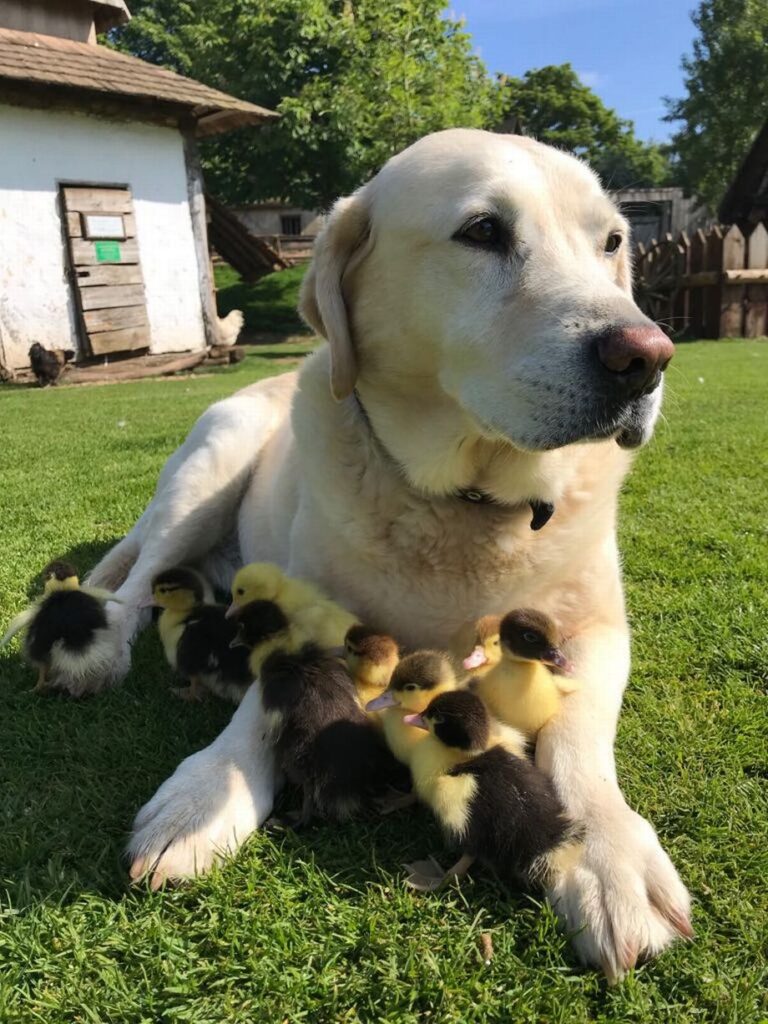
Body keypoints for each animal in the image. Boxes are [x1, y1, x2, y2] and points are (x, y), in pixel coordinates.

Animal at [85, 128, 692, 974]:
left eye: (610, 243)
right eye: (483, 231)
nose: (647, 356)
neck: (467, 504)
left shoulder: (601, 632)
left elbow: (577, 738)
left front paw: (611, 855)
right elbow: (256, 706)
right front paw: (204, 795)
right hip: (210, 465)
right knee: (136, 582)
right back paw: (103, 647)